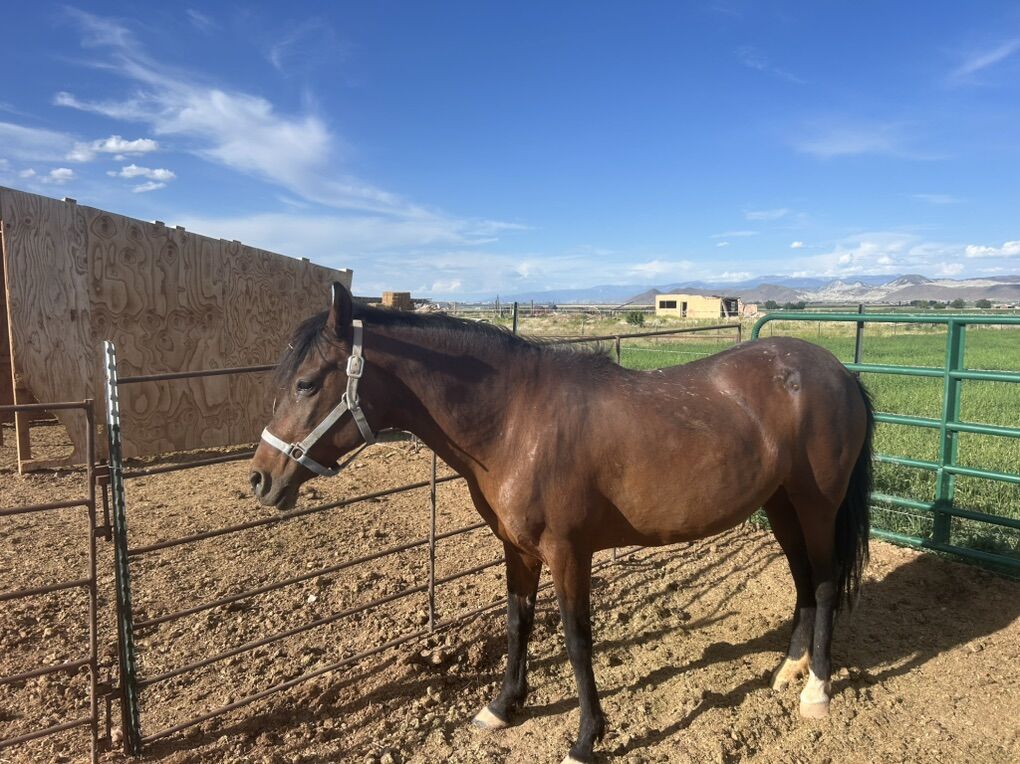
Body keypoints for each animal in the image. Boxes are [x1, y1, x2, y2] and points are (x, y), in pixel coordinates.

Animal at [249, 283, 873, 764]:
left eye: (307, 383)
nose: (260, 480)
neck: (516, 420)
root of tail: (837, 372)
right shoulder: (518, 549)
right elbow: (517, 624)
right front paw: (502, 708)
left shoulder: (568, 552)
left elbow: (576, 639)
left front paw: (586, 738)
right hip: (782, 506)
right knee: (803, 584)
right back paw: (788, 671)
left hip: (817, 508)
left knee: (822, 583)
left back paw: (816, 690)